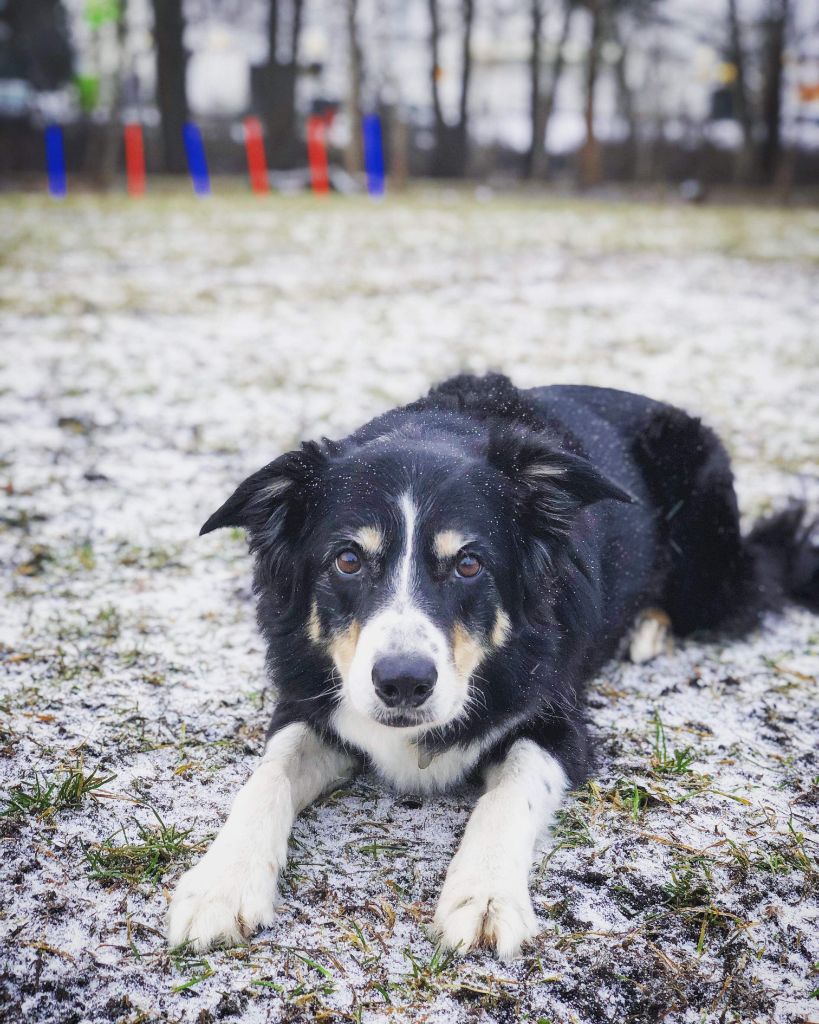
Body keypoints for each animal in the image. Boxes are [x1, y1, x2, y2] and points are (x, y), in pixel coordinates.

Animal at [164, 374, 810, 958]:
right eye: (347, 560)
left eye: (469, 564)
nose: (403, 683)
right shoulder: (307, 701)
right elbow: (267, 776)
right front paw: (222, 884)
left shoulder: (559, 723)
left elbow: (510, 793)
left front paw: (486, 898)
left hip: (707, 563)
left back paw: (648, 628)